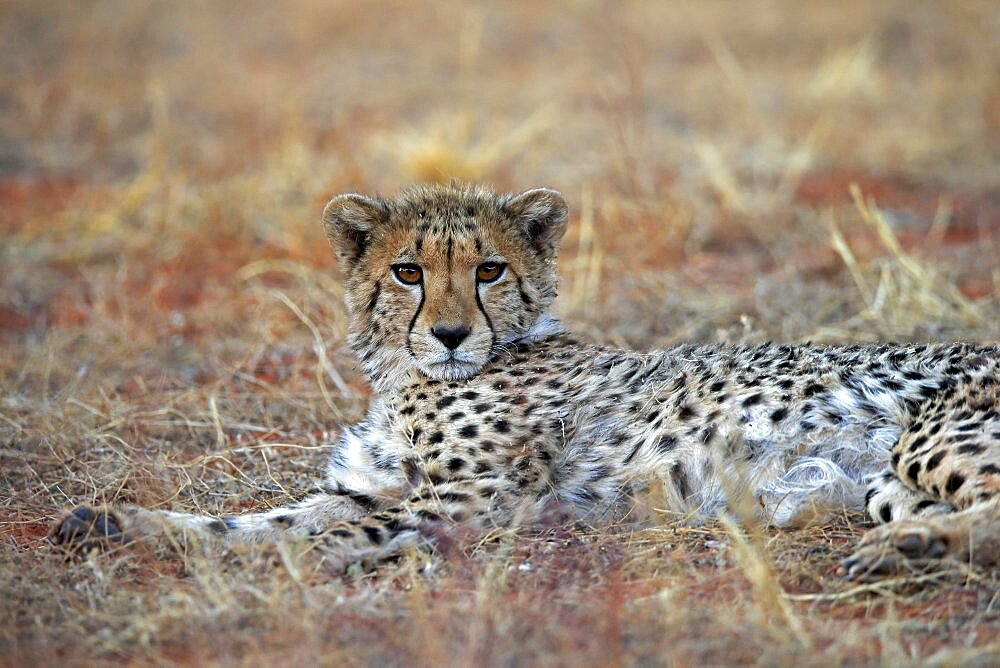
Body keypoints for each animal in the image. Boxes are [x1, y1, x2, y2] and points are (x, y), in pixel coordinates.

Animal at [52, 183, 1000, 580]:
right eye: (407, 272)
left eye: (490, 271)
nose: (449, 333)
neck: (407, 376)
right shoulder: (362, 488)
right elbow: (253, 519)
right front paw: (116, 522)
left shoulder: (483, 499)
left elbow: (327, 534)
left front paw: (292, 566)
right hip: (884, 480)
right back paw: (908, 548)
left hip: (928, 436)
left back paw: (902, 551)